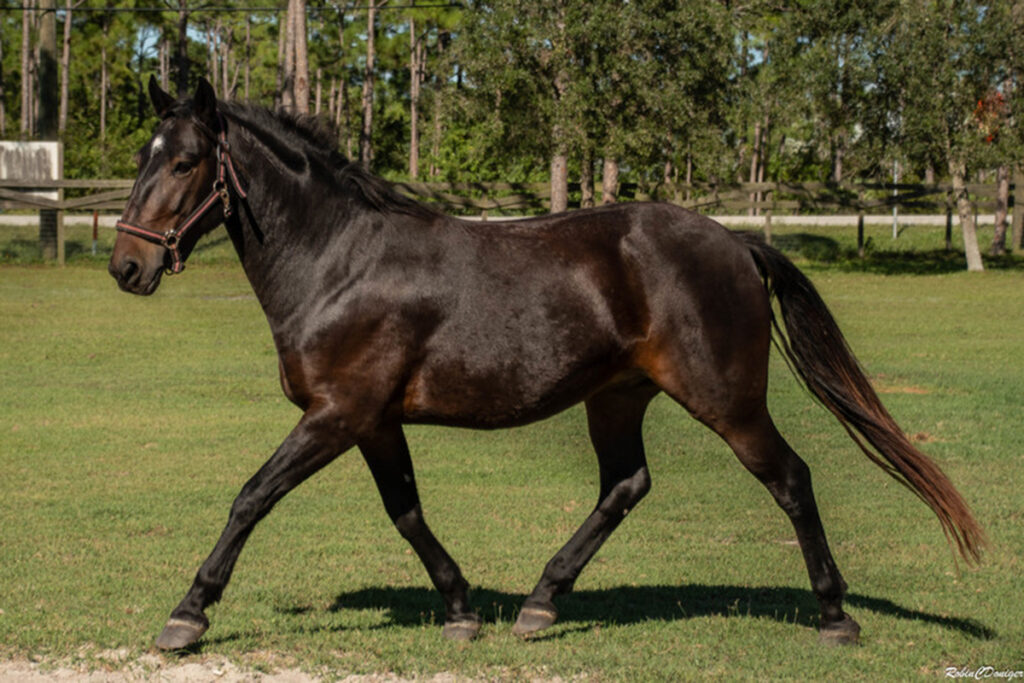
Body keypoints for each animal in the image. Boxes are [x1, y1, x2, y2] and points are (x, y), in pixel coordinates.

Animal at [105, 77, 983, 651]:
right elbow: (406, 511)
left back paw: (834, 615)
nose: (125, 267)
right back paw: (540, 602)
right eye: (146, 155)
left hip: (726, 400)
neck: (338, 263)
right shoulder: (374, 420)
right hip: (617, 396)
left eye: (183, 163)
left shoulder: (337, 413)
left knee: (791, 478)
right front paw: (462, 608)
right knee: (626, 485)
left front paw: (187, 613)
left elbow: (251, 497)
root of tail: (737, 242)